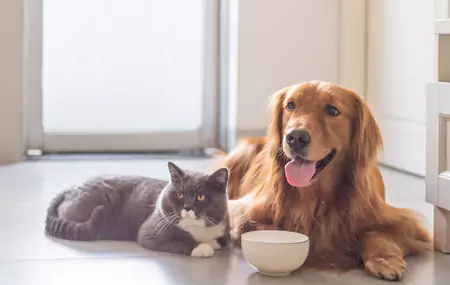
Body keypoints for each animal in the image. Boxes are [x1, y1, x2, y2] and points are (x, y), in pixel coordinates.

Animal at [44, 161, 229, 256]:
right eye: (179, 195)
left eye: (201, 197)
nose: (187, 207)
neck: (197, 229)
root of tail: (70, 188)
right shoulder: (151, 230)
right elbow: (181, 240)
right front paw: (202, 248)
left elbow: (223, 241)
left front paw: (214, 243)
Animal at [227, 80, 430, 280]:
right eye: (291, 105)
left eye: (332, 110)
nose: (295, 137)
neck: (315, 197)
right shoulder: (243, 210)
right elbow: (263, 227)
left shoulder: (403, 222)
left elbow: (377, 233)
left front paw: (384, 259)